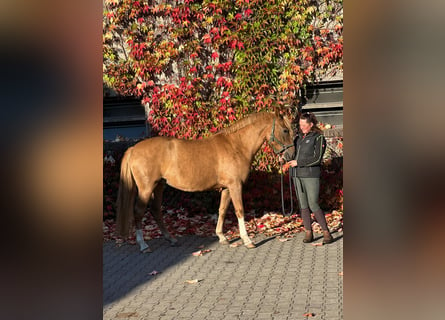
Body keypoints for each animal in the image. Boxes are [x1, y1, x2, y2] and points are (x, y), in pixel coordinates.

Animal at [116, 112, 294, 252]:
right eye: (285, 130)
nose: (291, 155)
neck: (236, 145)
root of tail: (133, 149)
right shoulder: (235, 186)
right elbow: (240, 210)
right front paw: (247, 240)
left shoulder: (226, 188)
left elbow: (222, 210)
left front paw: (222, 237)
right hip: (146, 189)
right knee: (139, 212)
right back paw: (143, 245)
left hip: (159, 186)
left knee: (155, 210)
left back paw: (171, 239)